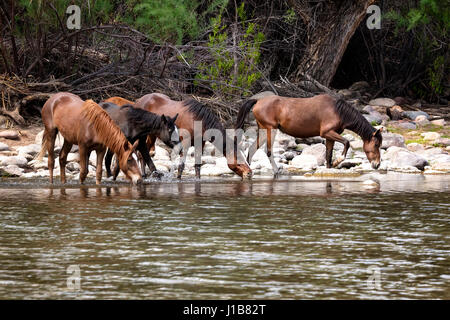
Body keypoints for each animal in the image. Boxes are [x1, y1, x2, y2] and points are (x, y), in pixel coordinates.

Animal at [236, 94, 384, 176]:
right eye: (376, 144)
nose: (377, 164)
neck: (338, 111)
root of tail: (257, 101)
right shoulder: (327, 132)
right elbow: (346, 143)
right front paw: (338, 161)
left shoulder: (329, 136)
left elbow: (328, 156)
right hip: (270, 130)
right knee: (268, 151)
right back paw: (277, 171)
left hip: (263, 130)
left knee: (252, 149)